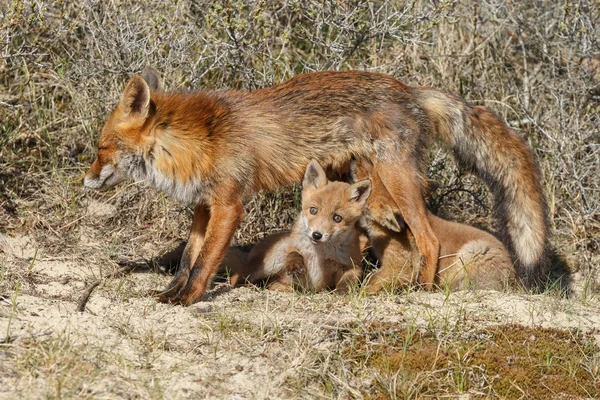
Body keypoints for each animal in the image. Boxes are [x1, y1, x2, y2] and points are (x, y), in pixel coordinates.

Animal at [221, 160, 370, 294]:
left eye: (337, 218)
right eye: (313, 210)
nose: (317, 235)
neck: (319, 253)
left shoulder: (352, 264)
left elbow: (348, 280)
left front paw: (342, 291)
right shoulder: (293, 246)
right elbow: (294, 253)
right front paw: (295, 264)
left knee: (271, 283)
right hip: (269, 262)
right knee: (238, 276)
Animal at [354, 161, 516, 292]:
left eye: (371, 176)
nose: (355, 159)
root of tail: (514, 278)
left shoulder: (401, 266)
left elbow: (371, 282)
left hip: (473, 251)